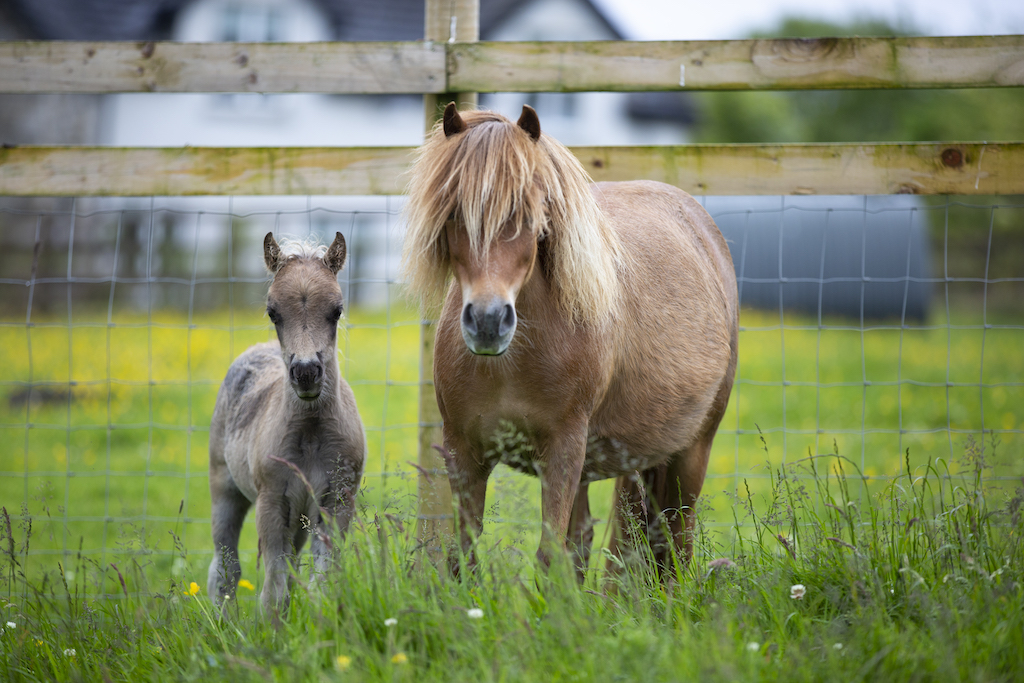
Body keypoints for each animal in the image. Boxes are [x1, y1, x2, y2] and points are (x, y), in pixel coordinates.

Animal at [207, 232, 366, 619]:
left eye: (337, 310)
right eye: (273, 312)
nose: (306, 372)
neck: (310, 434)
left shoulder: (336, 502)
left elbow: (321, 585)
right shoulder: (272, 502)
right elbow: (272, 593)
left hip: (300, 519)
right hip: (225, 489)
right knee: (225, 566)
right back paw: (222, 622)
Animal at [403, 103, 738, 579]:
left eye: (530, 213)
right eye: (453, 213)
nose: (488, 321)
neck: (511, 366)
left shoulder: (562, 451)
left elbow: (547, 557)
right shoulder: (464, 452)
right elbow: (462, 558)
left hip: (691, 453)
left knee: (676, 542)